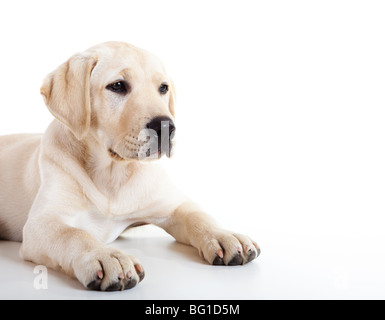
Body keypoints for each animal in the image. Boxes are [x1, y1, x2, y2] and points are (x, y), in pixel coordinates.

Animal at [0, 41, 260, 292]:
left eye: (163, 88)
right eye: (117, 86)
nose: (166, 127)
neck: (113, 174)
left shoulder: (172, 205)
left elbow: (199, 216)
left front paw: (224, 235)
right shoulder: (42, 224)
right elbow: (74, 234)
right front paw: (106, 256)